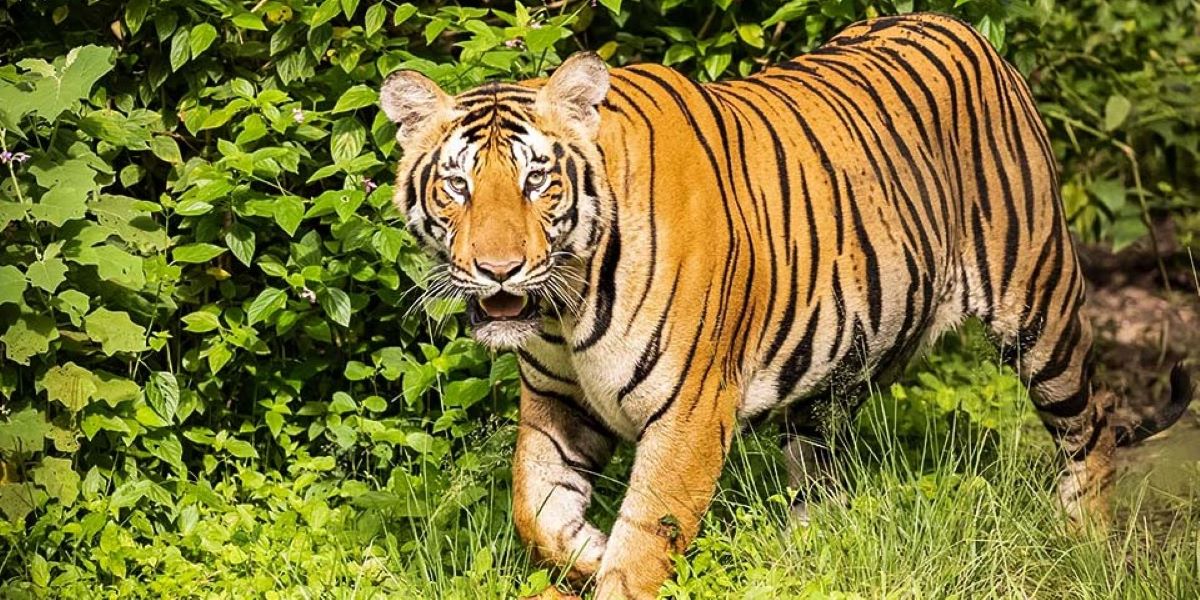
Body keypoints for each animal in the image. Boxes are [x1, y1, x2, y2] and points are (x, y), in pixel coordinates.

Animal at [380, 12, 1192, 599]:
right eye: (456, 186)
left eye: (537, 183)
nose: (498, 271)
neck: (566, 305)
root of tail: (964, 27)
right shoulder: (557, 402)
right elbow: (534, 509)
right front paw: (585, 550)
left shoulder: (689, 411)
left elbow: (646, 538)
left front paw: (613, 561)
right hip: (833, 370)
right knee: (822, 480)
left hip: (1039, 304)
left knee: (1092, 425)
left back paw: (1085, 543)